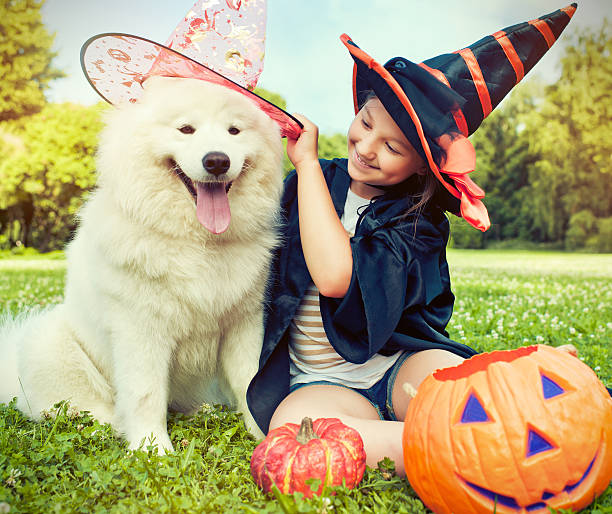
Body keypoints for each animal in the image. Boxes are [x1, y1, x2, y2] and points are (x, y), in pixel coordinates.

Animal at [0, 75, 284, 448]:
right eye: (186, 129)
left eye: (234, 131)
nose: (217, 161)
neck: (197, 242)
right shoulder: (140, 328)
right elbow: (145, 393)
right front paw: (153, 448)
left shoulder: (243, 323)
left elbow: (249, 382)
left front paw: (265, 435)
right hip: (48, 344)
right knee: (72, 407)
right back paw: (106, 424)